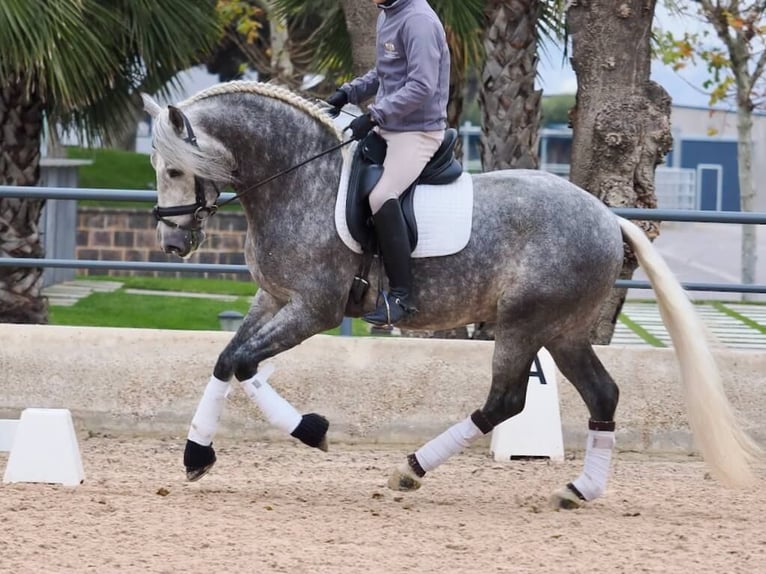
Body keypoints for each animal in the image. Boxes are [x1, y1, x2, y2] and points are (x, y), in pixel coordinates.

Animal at [142, 80, 760, 508]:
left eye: (173, 168)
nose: (172, 242)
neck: (299, 181)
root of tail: (608, 217)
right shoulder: (272, 299)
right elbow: (228, 360)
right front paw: (198, 452)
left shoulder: (313, 309)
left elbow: (245, 363)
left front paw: (308, 432)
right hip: (563, 331)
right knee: (602, 396)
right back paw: (578, 490)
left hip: (523, 325)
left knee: (506, 401)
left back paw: (412, 469)